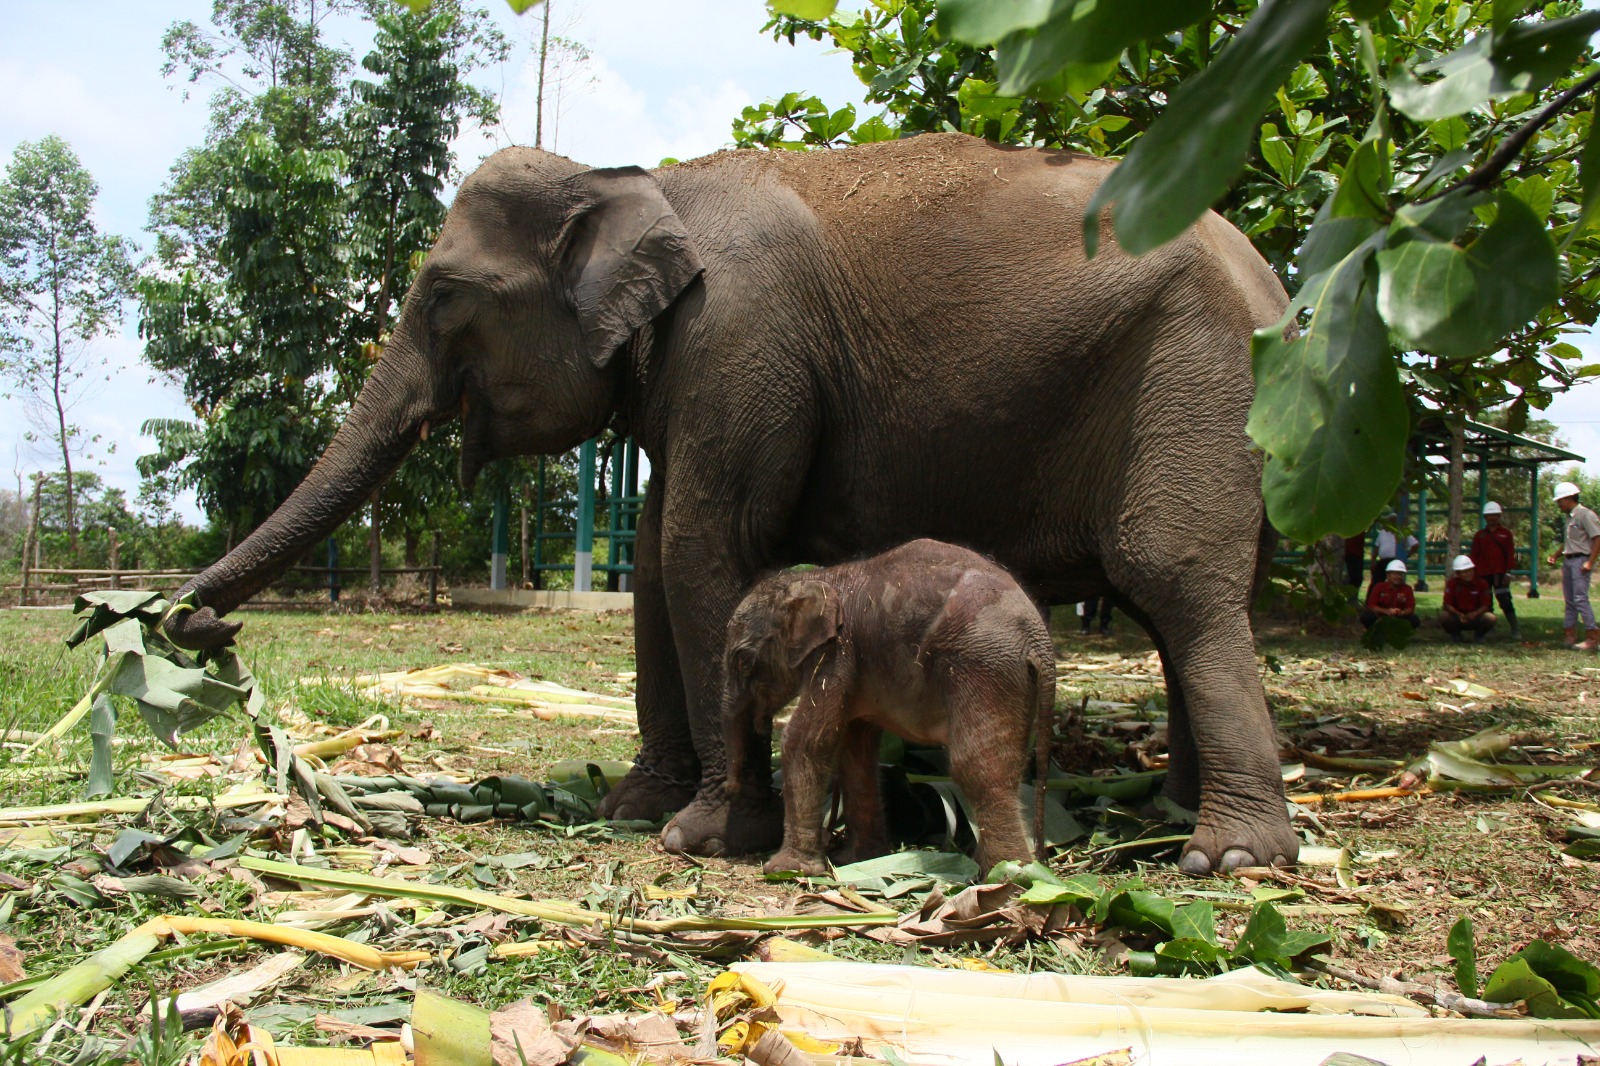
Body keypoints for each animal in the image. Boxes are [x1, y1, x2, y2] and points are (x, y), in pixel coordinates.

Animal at [723, 534, 1049, 877]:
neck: (818, 577)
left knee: (976, 764)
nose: (730, 789)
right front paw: (859, 858)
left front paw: (788, 870)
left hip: (982, 666)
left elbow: (805, 740)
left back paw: (1008, 876)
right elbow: (856, 748)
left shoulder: (837, 652)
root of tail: (1038, 639)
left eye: (743, 660)